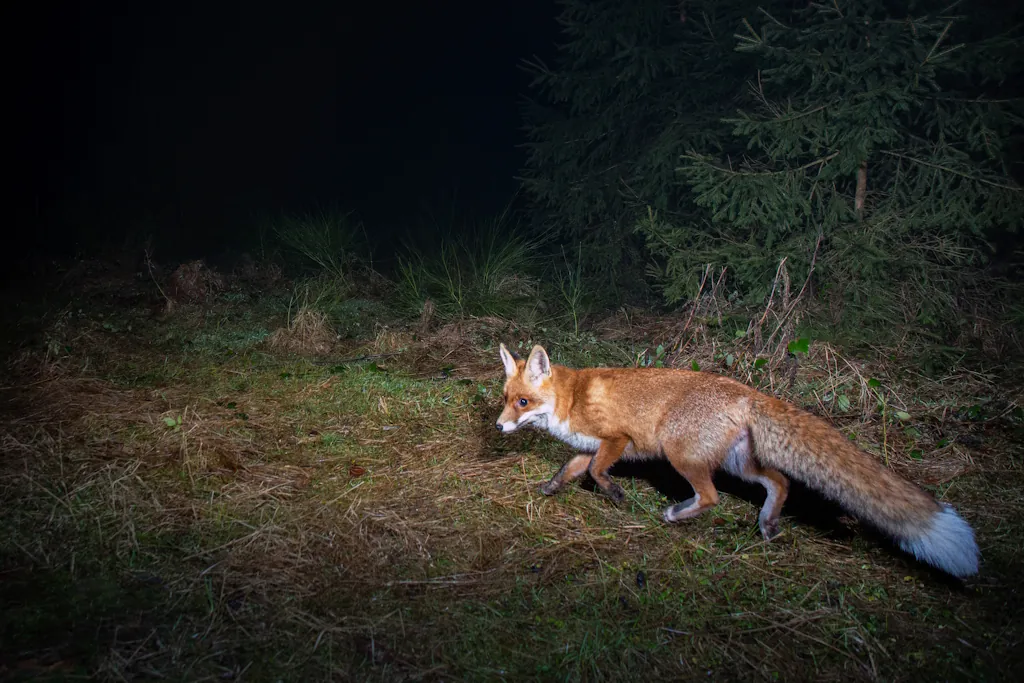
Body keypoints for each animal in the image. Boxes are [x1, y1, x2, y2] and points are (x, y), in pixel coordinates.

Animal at [499, 344, 978, 581]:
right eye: (504, 399)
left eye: (522, 402)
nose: (500, 426)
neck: (570, 399)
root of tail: (748, 391)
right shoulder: (589, 446)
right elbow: (571, 470)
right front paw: (551, 488)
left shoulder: (617, 439)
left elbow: (599, 473)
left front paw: (615, 493)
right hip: (739, 464)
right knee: (780, 481)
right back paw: (766, 524)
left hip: (681, 455)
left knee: (712, 497)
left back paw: (678, 514)